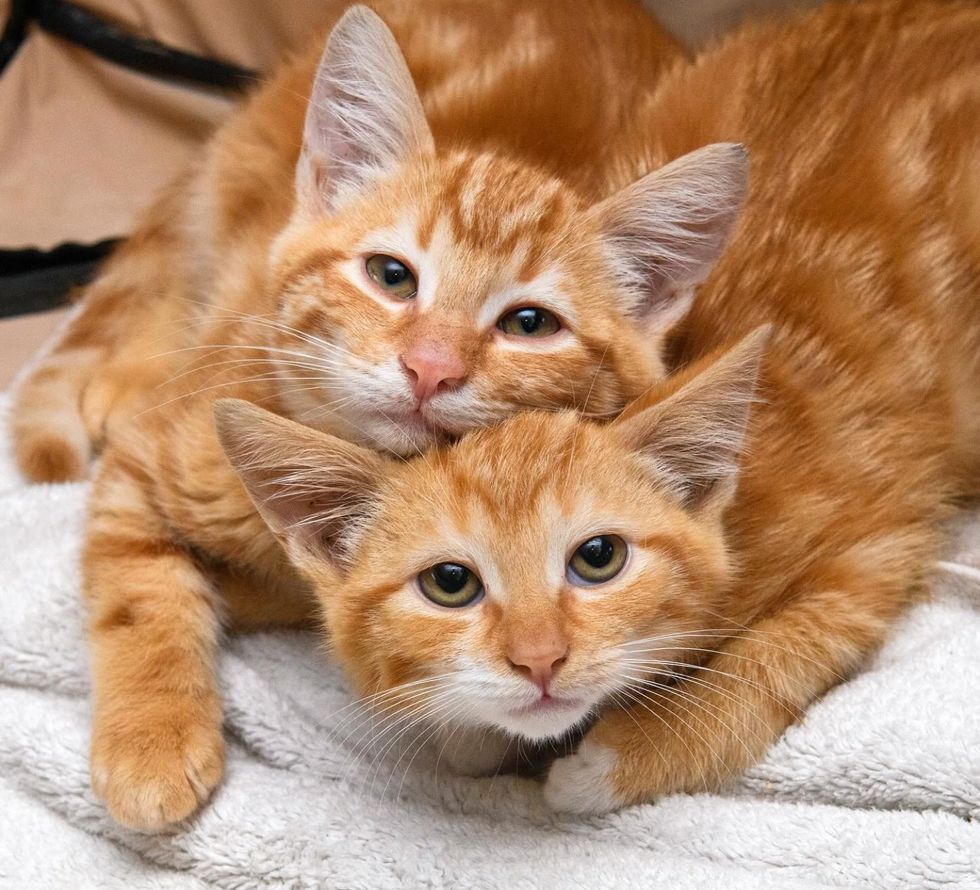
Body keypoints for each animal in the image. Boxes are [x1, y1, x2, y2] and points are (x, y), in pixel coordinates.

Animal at [9, 3, 756, 828]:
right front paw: (153, 736)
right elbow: (136, 588)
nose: (430, 367)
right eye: (391, 276)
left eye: (530, 324)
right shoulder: (147, 461)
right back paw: (130, 371)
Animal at [220, 0, 980, 812]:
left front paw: (623, 756)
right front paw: (468, 724)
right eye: (450, 584)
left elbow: (772, 661)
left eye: (598, 559)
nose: (540, 660)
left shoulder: (880, 542)